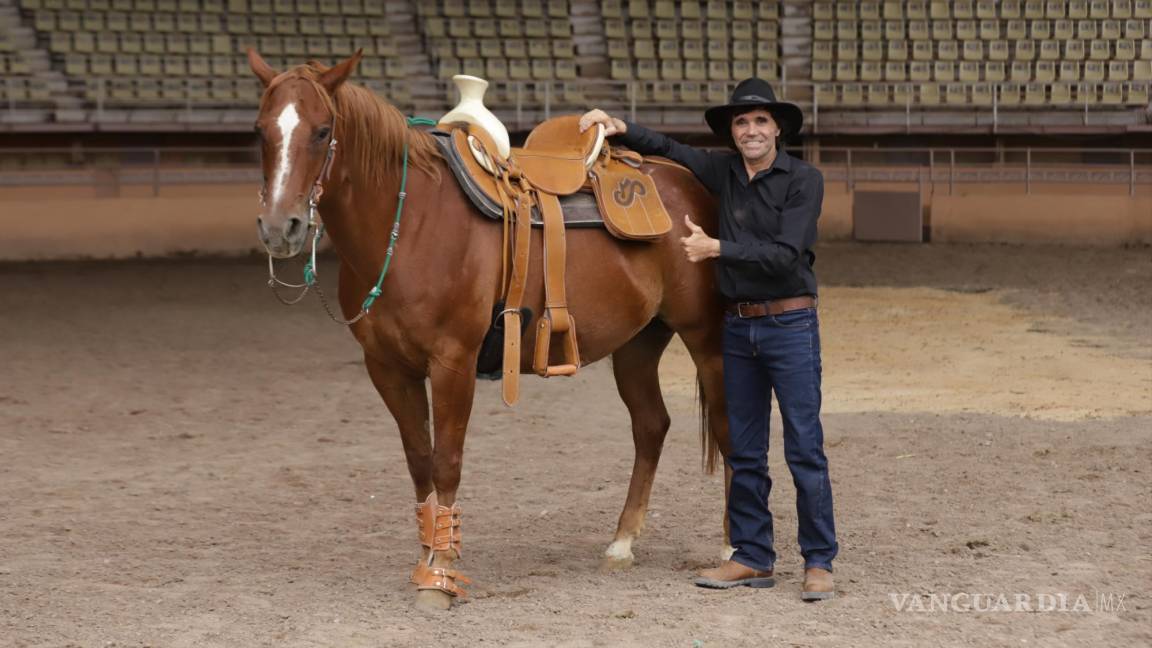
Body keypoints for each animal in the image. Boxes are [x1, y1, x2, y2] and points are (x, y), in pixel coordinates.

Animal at [252, 51, 732, 608]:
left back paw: (730, 546)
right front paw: (428, 558)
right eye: (261, 129)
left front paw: (441, 577)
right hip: (638, 344)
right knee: (651, 425)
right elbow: (419, 461)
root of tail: (687, 181)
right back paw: (621, 543)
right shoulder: (388, 368)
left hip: (706, 338)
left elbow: (447, 460)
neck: (412, 224)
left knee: (728, 427)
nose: (279, 227)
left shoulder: (453, 362)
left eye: (323, 131)